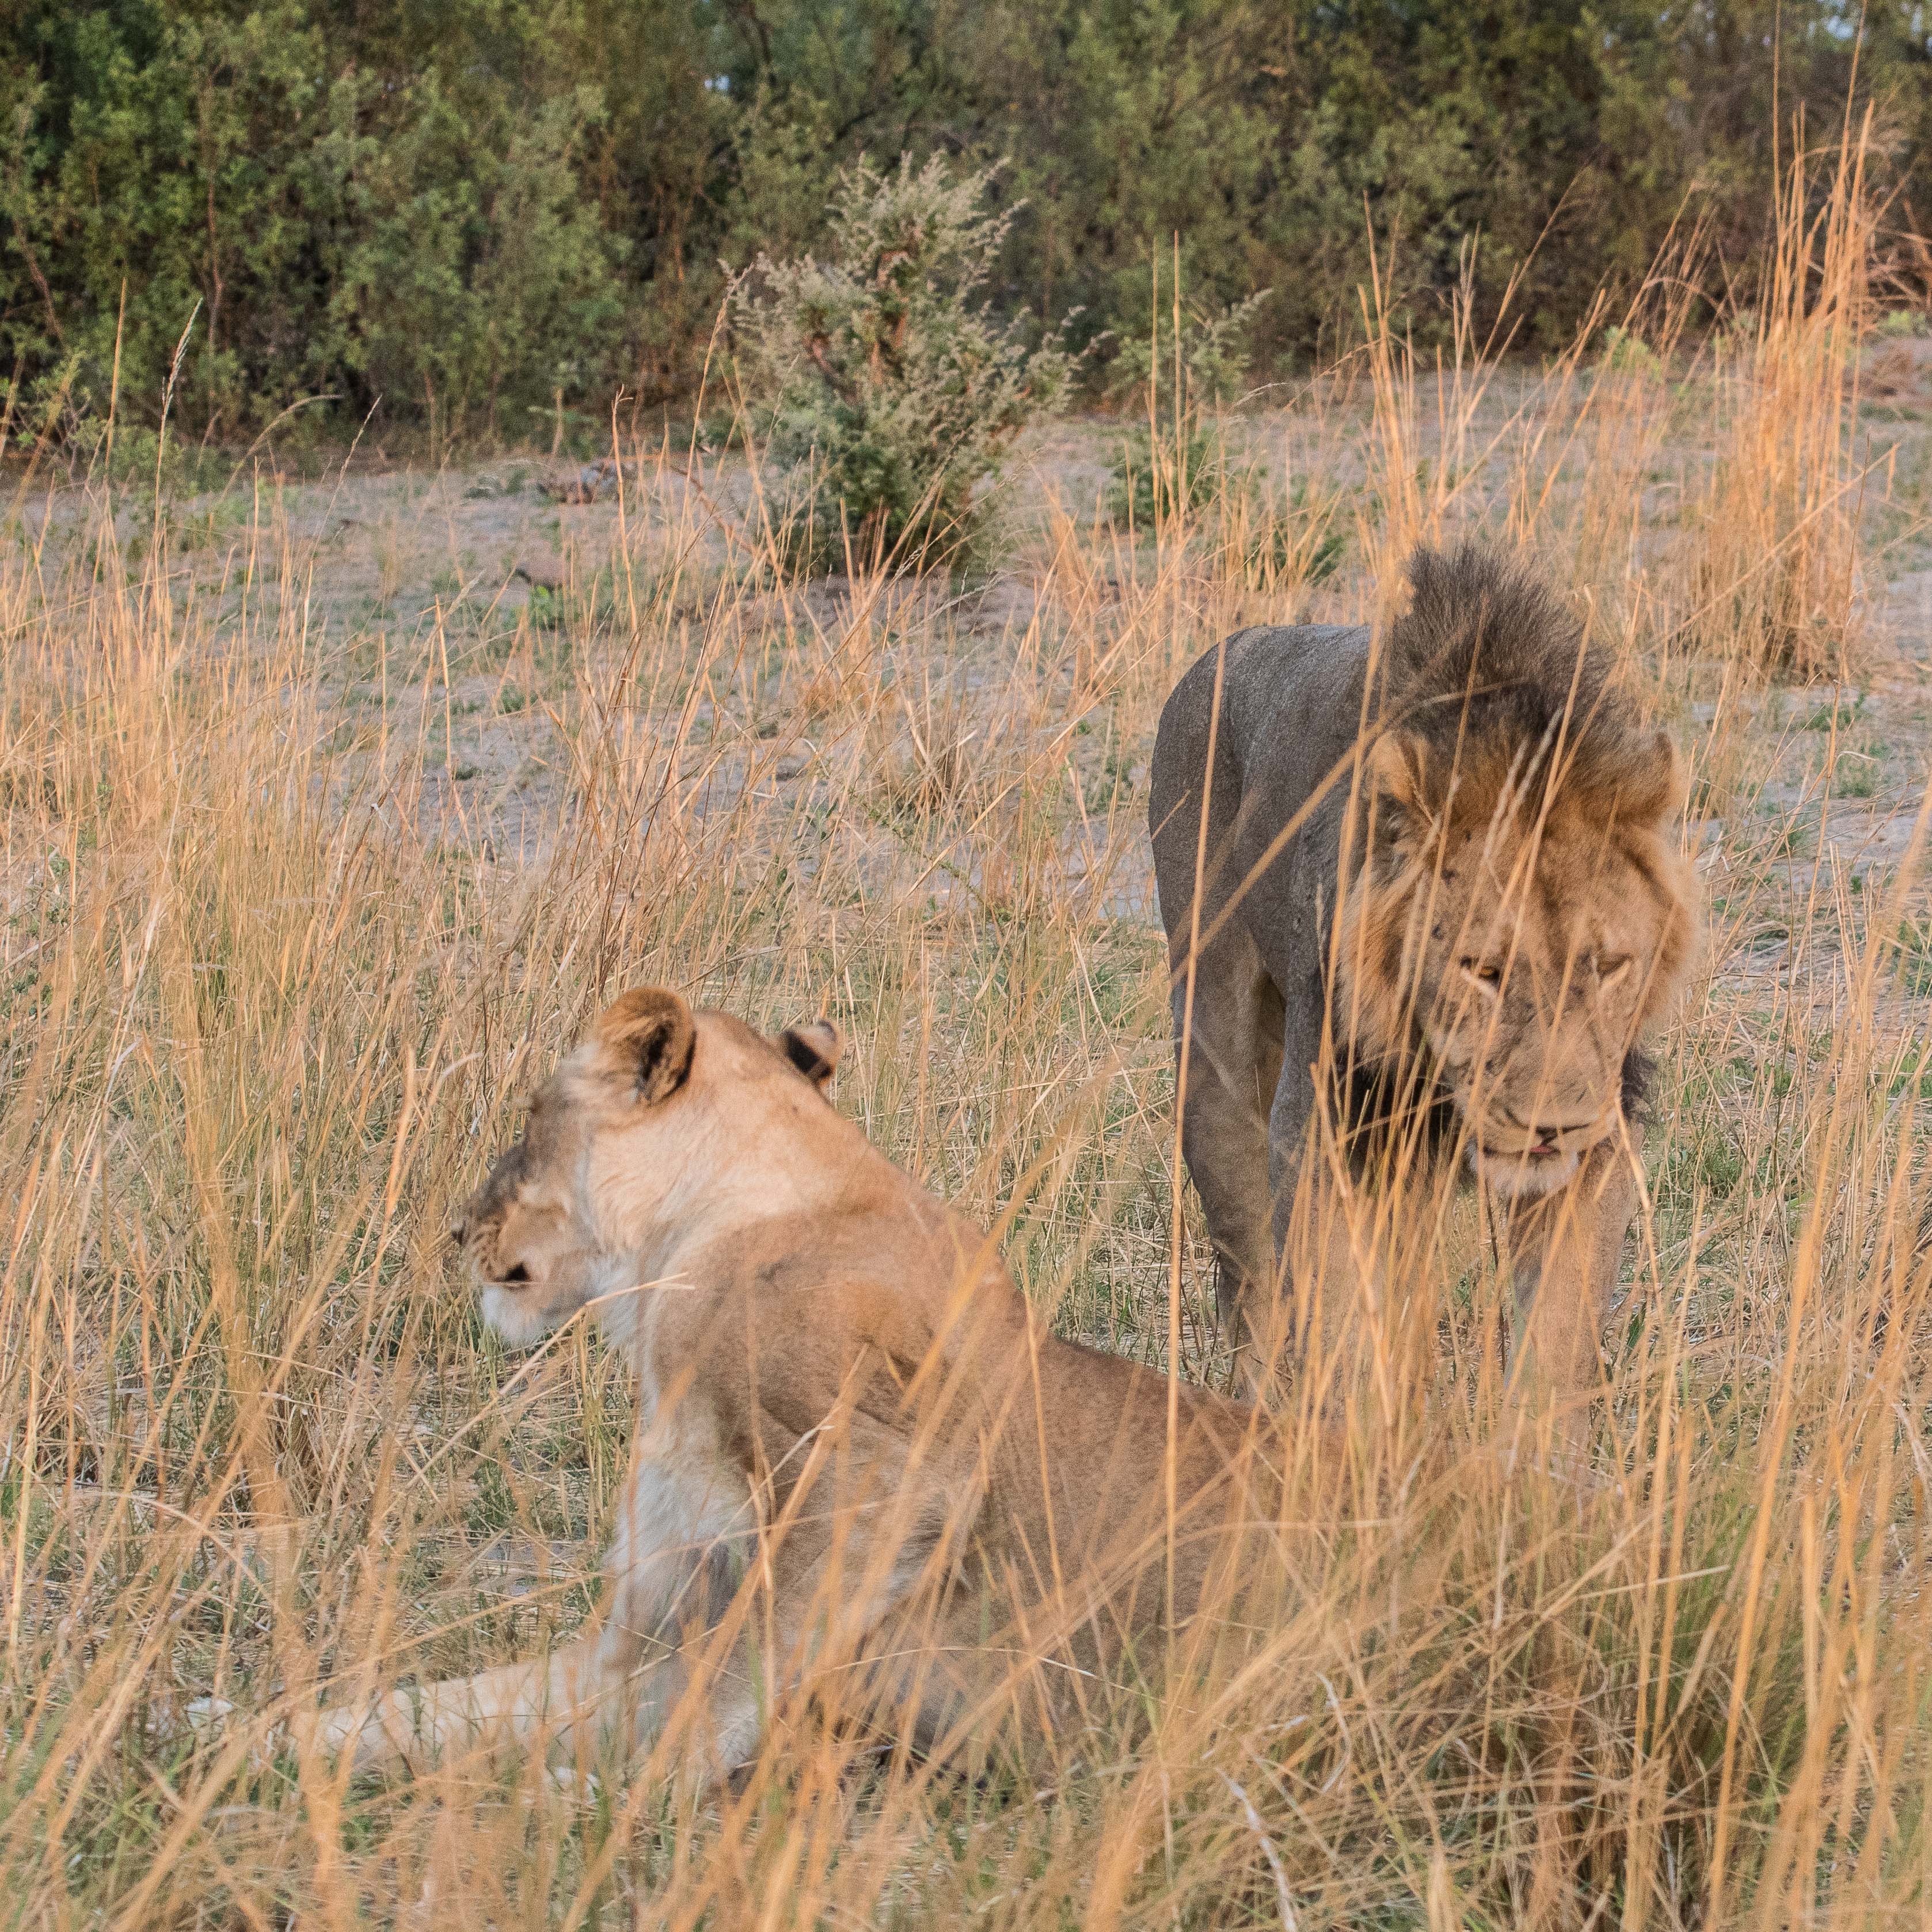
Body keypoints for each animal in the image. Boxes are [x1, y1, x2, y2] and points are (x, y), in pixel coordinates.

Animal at [305, 989, 1298, 1785]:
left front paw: (609, 1802)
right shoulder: (646, 1631)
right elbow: (430, 1706)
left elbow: (739, 1676)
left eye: (531, 1114)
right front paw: (277, 1752)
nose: (459, 1227)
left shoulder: (880, 1476)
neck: (688, 1247)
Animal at [1151, 545, 1700, 1406]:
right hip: (1214, 1062)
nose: (1551, 1125)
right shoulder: (1324, 1135)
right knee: (1250, 1278)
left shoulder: (1601, 1135)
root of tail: (1221, 651)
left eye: (1609, 965)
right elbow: (1343, 1331)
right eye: (1481, 970)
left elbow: (1554, 1344)